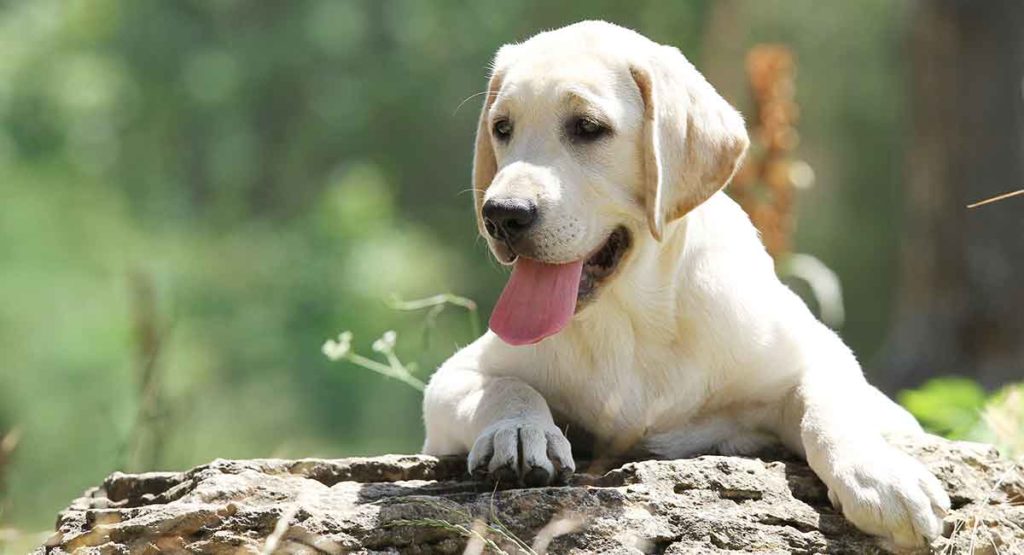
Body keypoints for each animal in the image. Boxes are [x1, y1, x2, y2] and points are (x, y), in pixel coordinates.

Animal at [419, 20, 946, 548]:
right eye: (502, 128)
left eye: (587, 127)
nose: (501, 215)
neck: (635, 319)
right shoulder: (453, 378)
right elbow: (505, 387)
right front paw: (521, 433)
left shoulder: (818, 353)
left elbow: (831, 405)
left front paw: (880, 477)